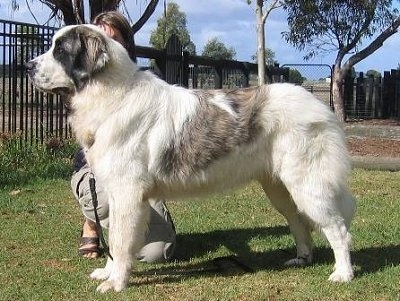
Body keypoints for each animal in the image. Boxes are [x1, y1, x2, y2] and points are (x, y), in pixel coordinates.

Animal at [25, 24, 356, 292]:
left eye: (60, 50)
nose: (27, 65)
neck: (113, 94)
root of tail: (317, 103)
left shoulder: (127, 193)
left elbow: (119, 241)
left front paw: (116, 283)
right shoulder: (122, 196)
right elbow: (116, 239)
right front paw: (108, 273)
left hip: (308, 184)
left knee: (338, 229)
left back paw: (343, 274)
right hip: (279, 188)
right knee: (299, 221)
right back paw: (302, 258)